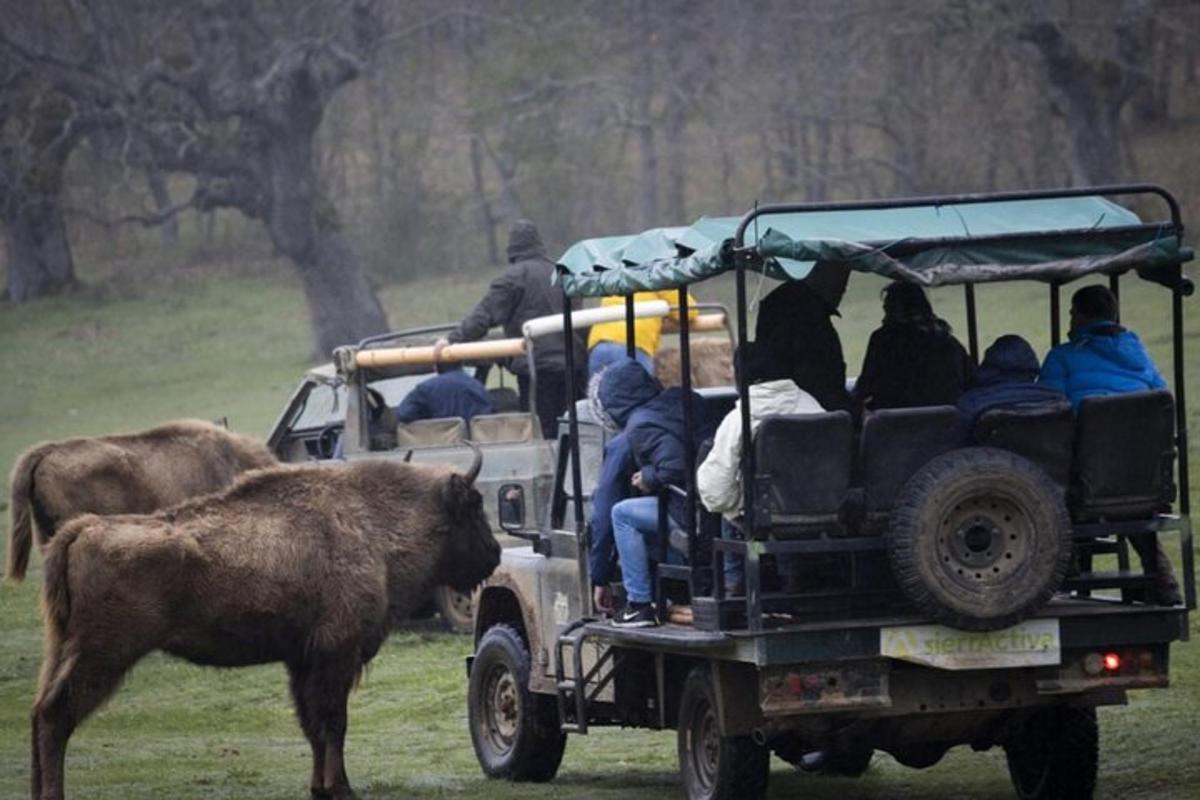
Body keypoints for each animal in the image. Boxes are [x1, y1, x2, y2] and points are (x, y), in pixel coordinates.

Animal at [29, 455, 496, 800]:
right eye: (473, 506)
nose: (493, 554)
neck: (375, 521)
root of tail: (84, 529)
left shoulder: (303, 660)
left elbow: (313, 727)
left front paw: (320, 788)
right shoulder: (335, 654)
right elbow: (333, 721)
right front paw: (340, 788)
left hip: (61, 650)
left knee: (39, 713)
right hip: (103, 654)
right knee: (55, 716)